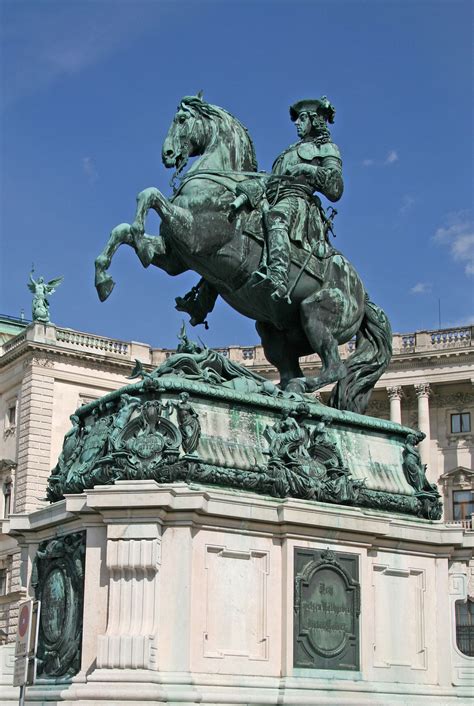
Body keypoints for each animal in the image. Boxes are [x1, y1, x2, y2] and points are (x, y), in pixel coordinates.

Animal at [94, 94, 390, 412]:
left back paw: (296, 387)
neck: (221, 185)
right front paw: (103, 278)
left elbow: (149, 196)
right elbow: (124, 230)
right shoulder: (176, 257)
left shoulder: (195, 236)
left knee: (335, 367)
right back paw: (267, 389)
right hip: (274, 331)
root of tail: (362, 296)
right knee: (290, 371)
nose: (168, 154)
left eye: (182, 120)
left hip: (317, 314)